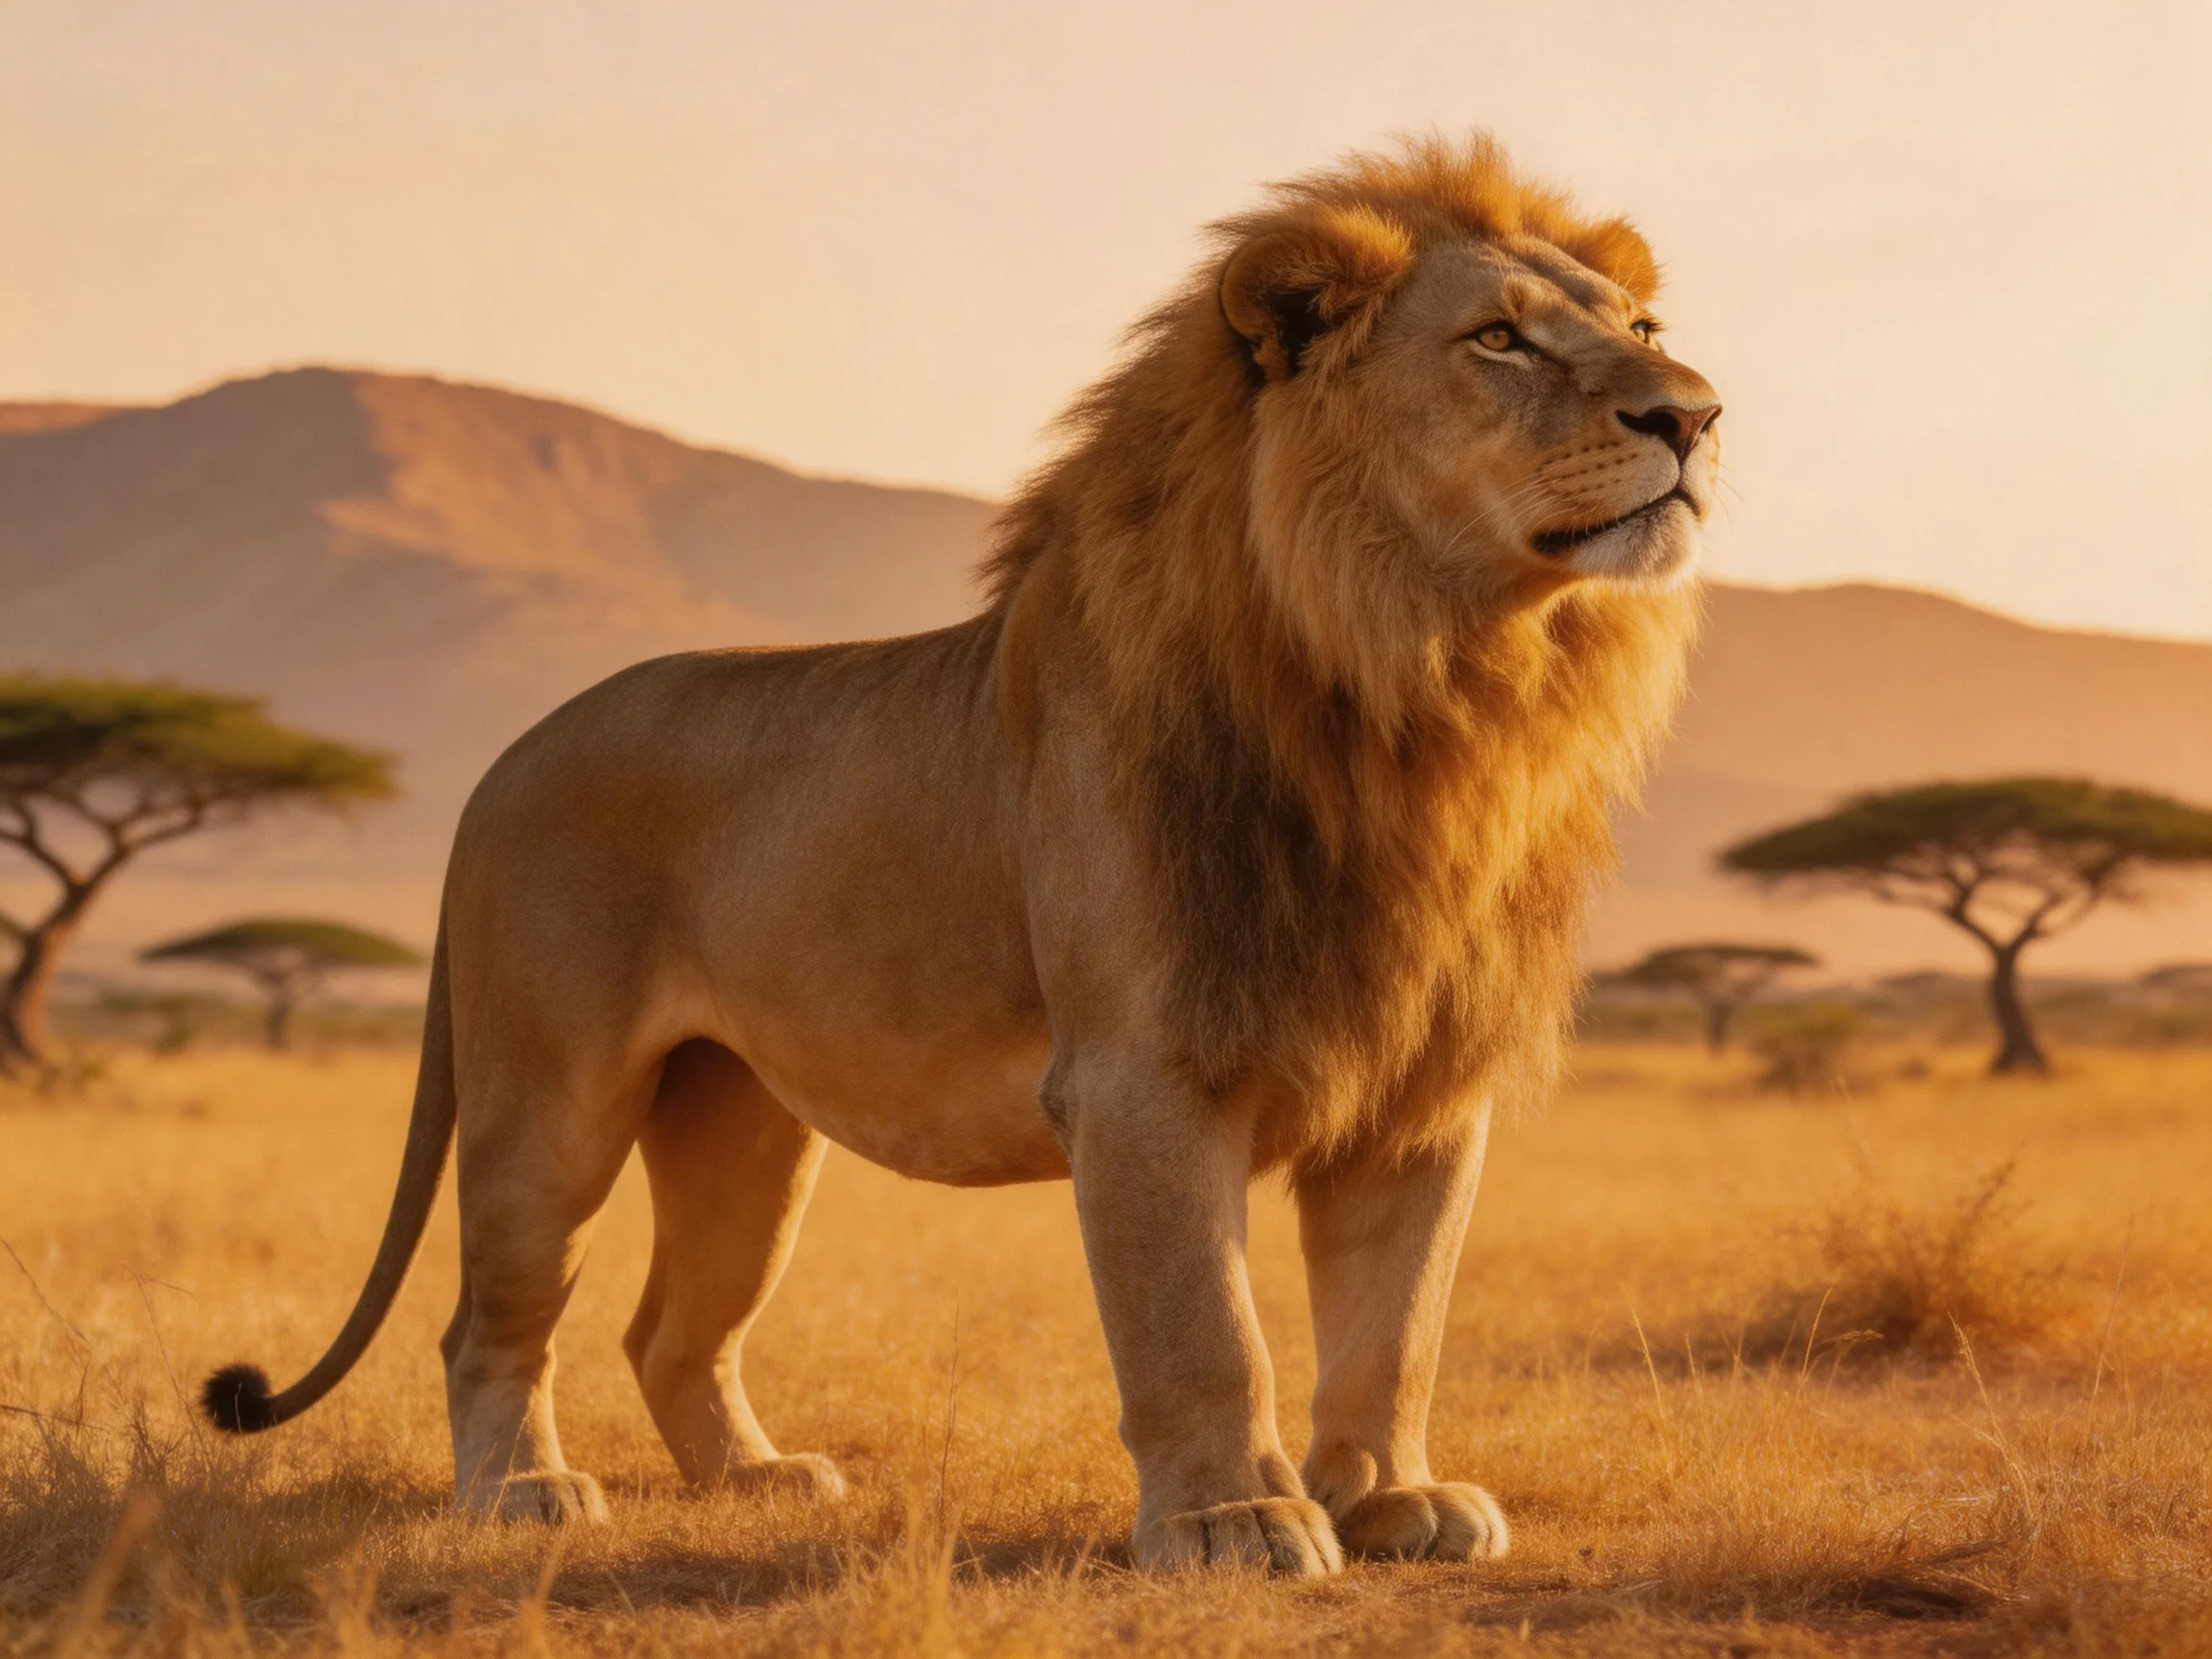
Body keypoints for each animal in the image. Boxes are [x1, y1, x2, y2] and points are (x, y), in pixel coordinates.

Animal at [202, 134, 1717, 1577]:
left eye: (1642, 325)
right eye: (1499, 339)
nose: (1695, 413)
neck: (1436, 681)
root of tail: (503, 762)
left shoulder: (1422, 1089)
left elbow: (1396, 1327)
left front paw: (1394, 1499)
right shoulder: (1141, 1074)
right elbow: (1204, 1329)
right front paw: (1235, 1519)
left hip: (746, 1129)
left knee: (670, 1327)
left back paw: (755, 1480)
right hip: (549, 1098)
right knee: (490, 1319)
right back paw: (522, 1493)